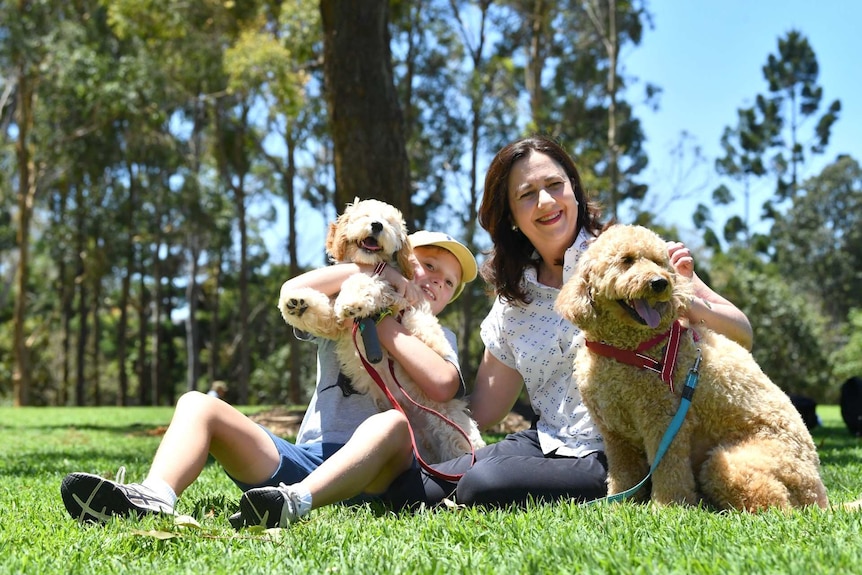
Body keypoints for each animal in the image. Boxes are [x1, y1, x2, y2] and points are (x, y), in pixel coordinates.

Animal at [278, 198, 486, 464]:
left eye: (389, 223)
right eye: (365, 216)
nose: (377, 225)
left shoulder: (394, 296)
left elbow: (366, 280)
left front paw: (353, 300)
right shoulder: (335, 325)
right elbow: (324, 312)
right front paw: (297, 303)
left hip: (452, 428)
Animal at [552, 225, 832, 512]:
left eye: (658, 262)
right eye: (626, 260)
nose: (660, 283)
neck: (628, 349)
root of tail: (818, 494)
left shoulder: (665, 421)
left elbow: (669, 470)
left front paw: (667, 507)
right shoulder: (615, 433)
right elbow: (624, 474)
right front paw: (619, 504)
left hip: (729, 463)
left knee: (777, 505)